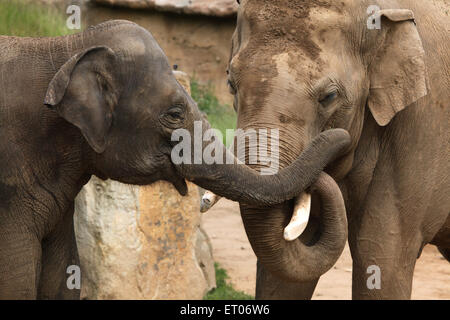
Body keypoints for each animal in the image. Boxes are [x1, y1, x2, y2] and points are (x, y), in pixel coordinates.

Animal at [221, 0, 446, 300]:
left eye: (329, 96)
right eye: (231, 84)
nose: (338, 140)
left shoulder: (421, 127)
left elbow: (379, 254)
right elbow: (284, 275)